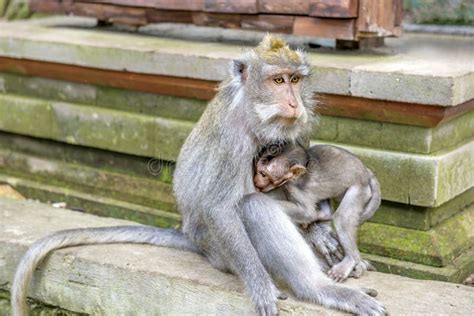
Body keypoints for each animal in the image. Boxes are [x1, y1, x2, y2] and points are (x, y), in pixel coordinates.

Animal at [256, 143, 382, 282]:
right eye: (258, 169)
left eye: (264, 174)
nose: (256, 180)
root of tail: (365, 172)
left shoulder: (294, 189)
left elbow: (307, 212)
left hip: (359, 189)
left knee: (341, 218)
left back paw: (350, 260)